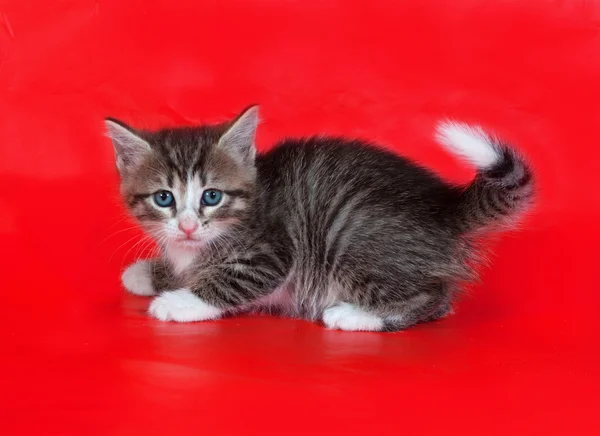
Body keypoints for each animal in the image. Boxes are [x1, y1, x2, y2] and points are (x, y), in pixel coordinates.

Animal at [104, 107, 536, 332]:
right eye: (164, 198)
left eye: (212, 196)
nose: (188, 226)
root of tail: (443, 205)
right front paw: (147, 273)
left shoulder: (273, 252)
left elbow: (231, 282)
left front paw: (178, 301)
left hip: (352, 237)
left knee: (433, 300)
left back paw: (353, 316)